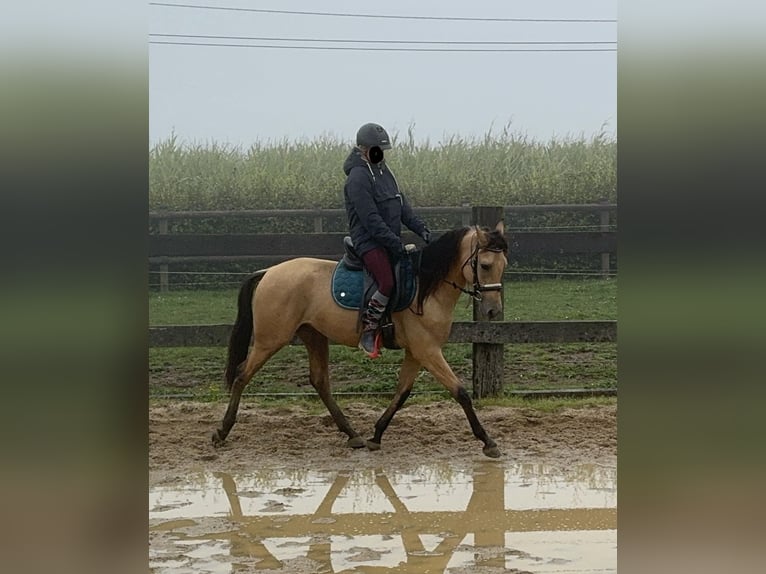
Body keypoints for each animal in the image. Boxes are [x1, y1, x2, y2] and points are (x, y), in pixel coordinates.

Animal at [213, 223, 510, 462]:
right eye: (485, 265)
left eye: (503, 265)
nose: (493, 311)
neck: (426, 289)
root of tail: (269, 271)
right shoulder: (427, 350)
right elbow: (460, 392)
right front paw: (487, 441)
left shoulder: (416, 352)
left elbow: (402, 393)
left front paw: (376, 435)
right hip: (270, 340)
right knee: (241, 375)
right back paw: (222, 431)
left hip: (314, 336)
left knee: (320, 381)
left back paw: (352, 434)